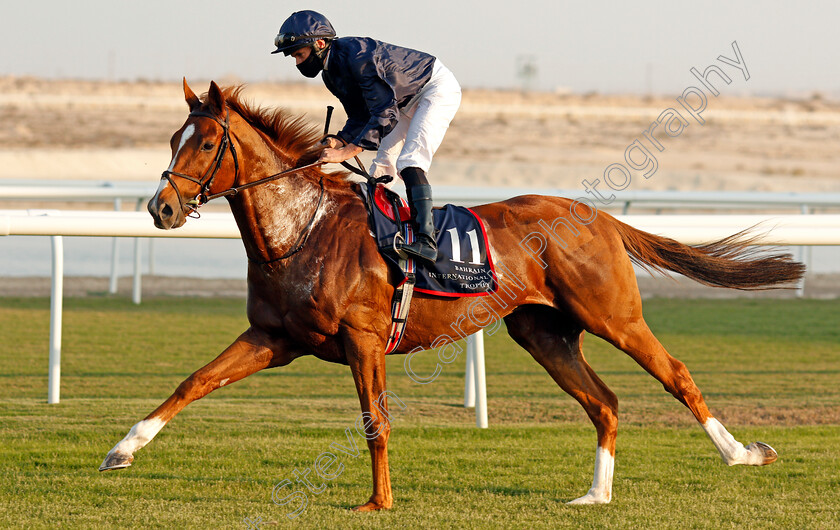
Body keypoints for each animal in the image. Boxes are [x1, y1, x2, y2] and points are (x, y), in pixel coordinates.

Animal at [100, 79, 808, 508]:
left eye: (206, 141)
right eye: (172, 140)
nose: (161, 207)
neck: (302, 229)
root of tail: (599, 215)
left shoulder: (363, 341)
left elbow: (375, 421)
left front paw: (378, 500)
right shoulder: (274, 338)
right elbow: (193, 381)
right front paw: (121, 450)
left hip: (615, 316)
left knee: (676, 374)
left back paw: (743, 454)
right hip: (543, 332)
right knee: (603, 402)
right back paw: (595, 495)